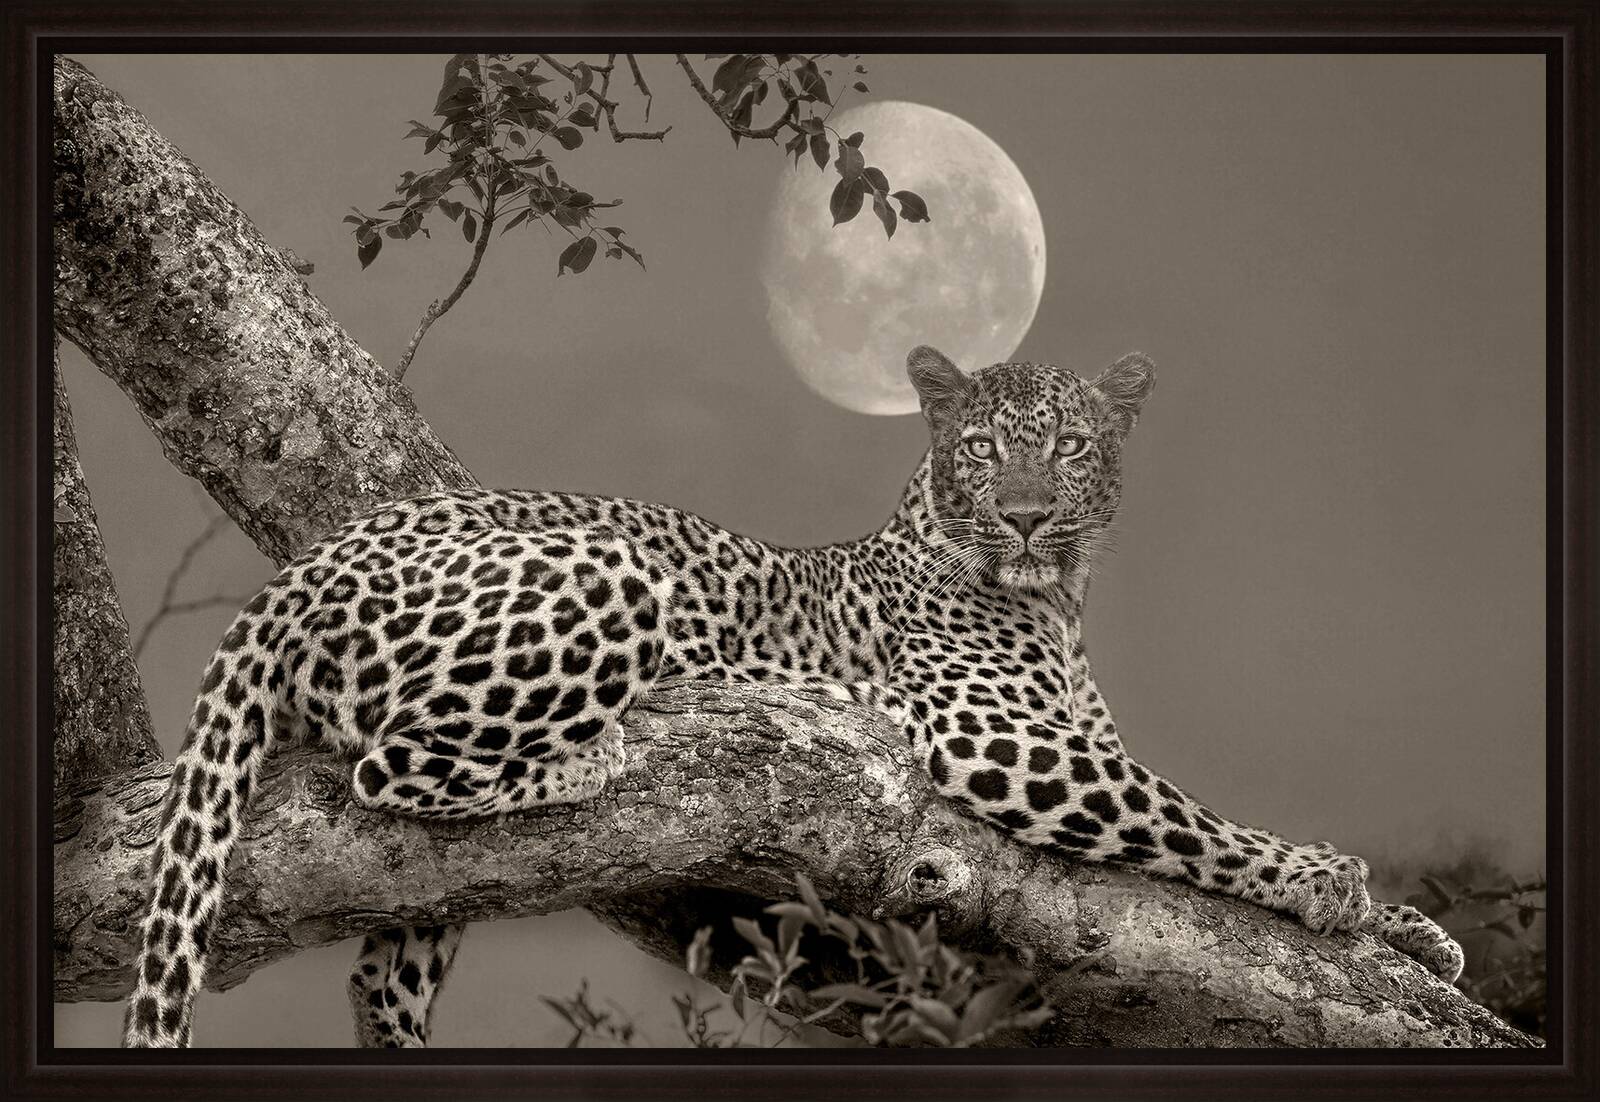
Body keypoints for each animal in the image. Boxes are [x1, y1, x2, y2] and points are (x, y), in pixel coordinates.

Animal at [122, 344, 1464, 1048]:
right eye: (983, 450)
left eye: (1072, 447)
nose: (1028, 513)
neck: (1055, 598)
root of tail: (304, 566)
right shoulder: (993, 737)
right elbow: (1188, 815)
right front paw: (1321, 876)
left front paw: (1413, 934)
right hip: (609, 577)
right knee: (390, 764)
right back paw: (593, 756)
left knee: (381, 966)